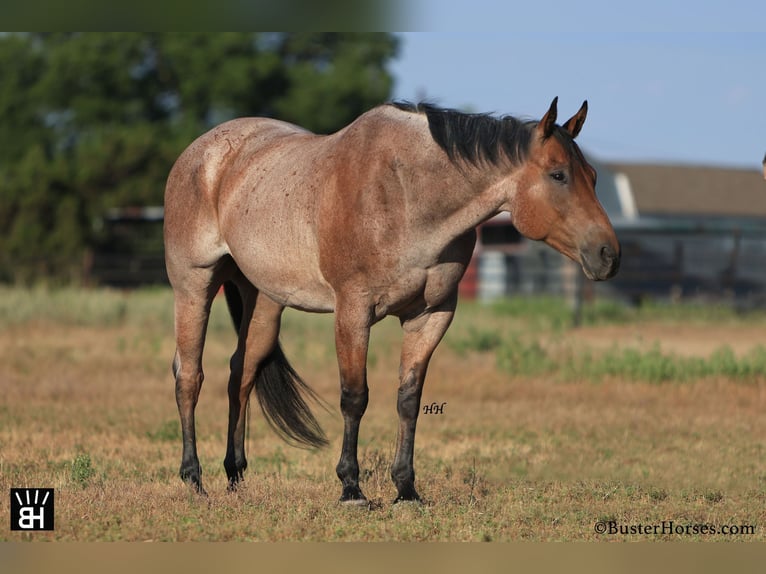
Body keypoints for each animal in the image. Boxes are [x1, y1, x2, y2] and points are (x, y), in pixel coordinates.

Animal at [165, 97, 620, 506]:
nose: (609, 255)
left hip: (263, 302)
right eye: (558, 175)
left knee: (241, 374)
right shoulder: (353, 311)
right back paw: (193, 479)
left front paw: (406, 489)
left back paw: (235, 476)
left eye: (593, 176)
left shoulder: (431, 316)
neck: (405, 193)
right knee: (189, 374)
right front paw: (351, 488)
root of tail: (199, 153)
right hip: (194, 287)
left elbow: (409, 399)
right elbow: (355, 397)